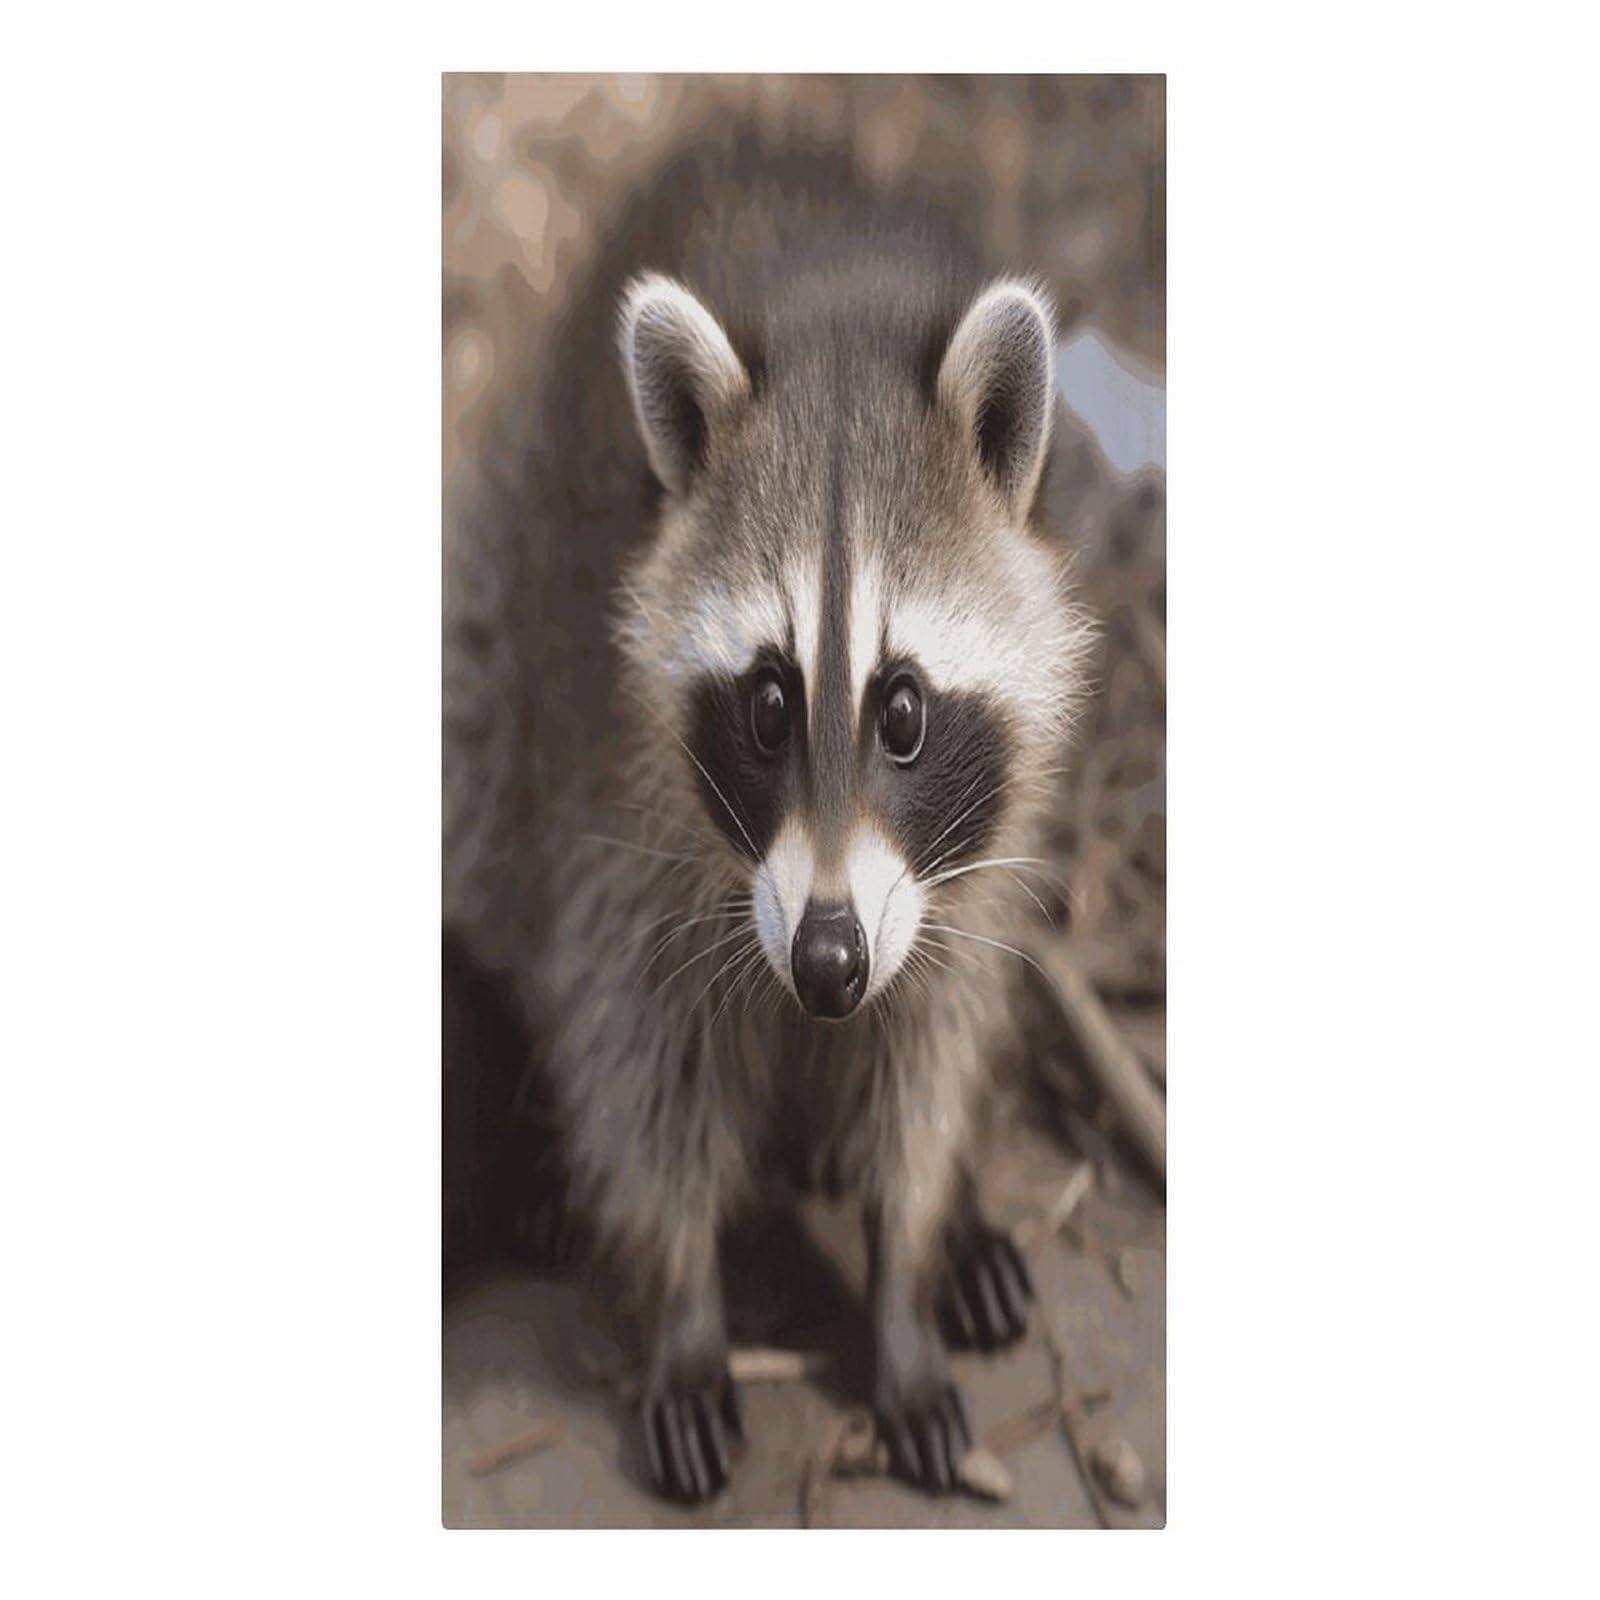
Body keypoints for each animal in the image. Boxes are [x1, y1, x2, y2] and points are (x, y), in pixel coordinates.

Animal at [445, 130, 1092, 1502]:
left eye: (901, 710)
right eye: (766, 702)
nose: (830, 961)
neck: (835, 313)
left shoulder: (962, 868)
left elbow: (926, 1060)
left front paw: (909, 1269)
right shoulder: (615, 812)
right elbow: (642, 1066)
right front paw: (683, 1306)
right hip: (493, 640)